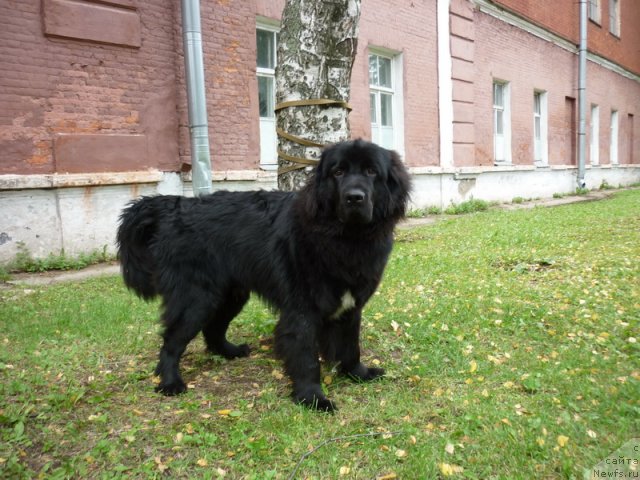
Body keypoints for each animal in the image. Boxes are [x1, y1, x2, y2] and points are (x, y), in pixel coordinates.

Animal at [116, 138, 410, 408]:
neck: (346, 238)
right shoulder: (301, 311)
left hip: (230, 294)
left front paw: (358, 374)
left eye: (372, 171)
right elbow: (306, 357)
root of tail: (175, 205)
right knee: (172, 341)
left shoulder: (351, 305)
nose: (354, 197)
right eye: (338, 172)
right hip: (196, 298)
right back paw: (170, 382)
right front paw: (312, 397)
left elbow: (350, 346)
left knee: (213, 328)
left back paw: (230, 352)